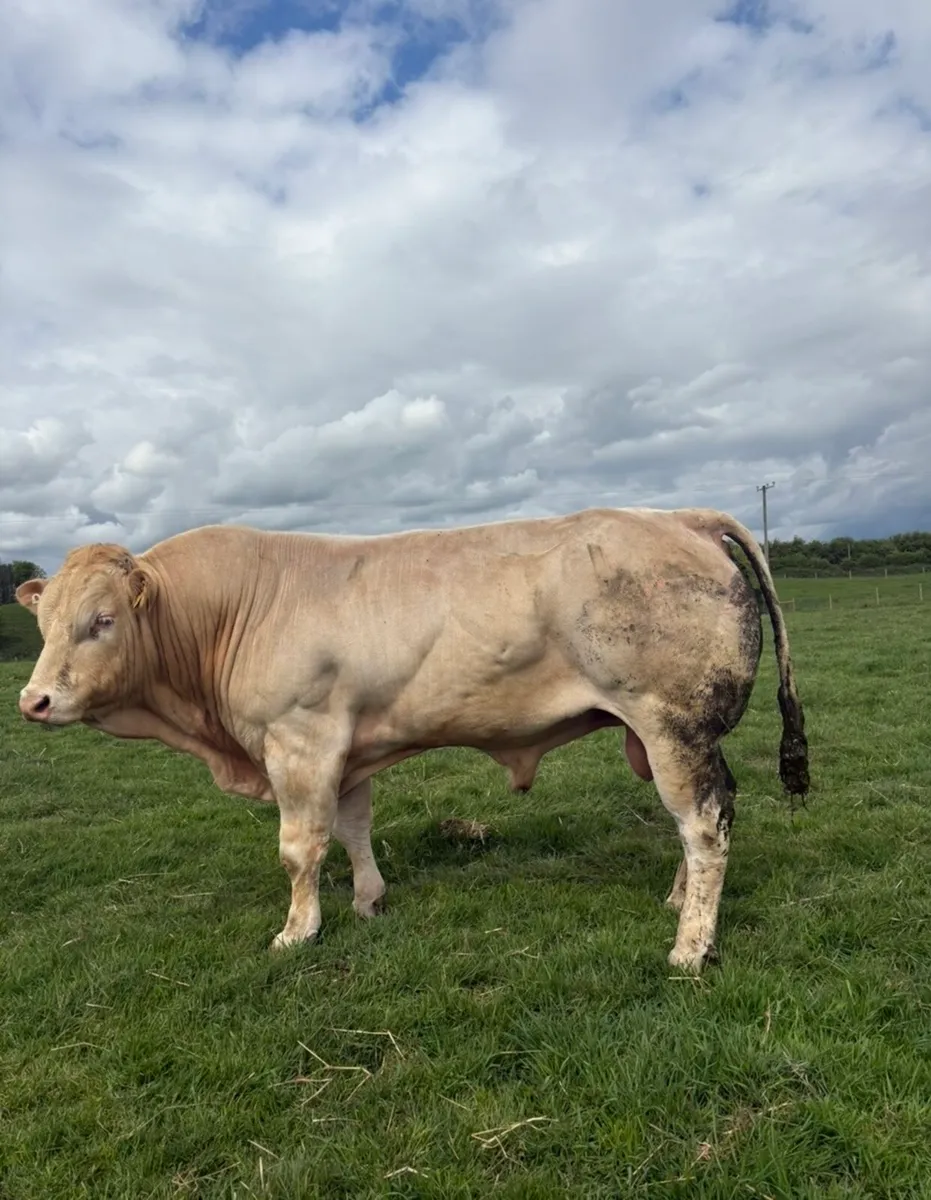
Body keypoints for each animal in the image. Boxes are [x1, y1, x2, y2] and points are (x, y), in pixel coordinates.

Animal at [15, 506, 808, 972]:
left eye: (101, 621)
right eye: (43, 623)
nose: (33, 700)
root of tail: (681, 517)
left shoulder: (298, 741)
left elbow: (300, 847)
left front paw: (298, 931)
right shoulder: (346, 744)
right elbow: (353, 828)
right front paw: (369, 902)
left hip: (672, 725)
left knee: (702, 823)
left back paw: (691, 945)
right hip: (678, 735)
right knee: (699, 820)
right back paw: (678, 902)